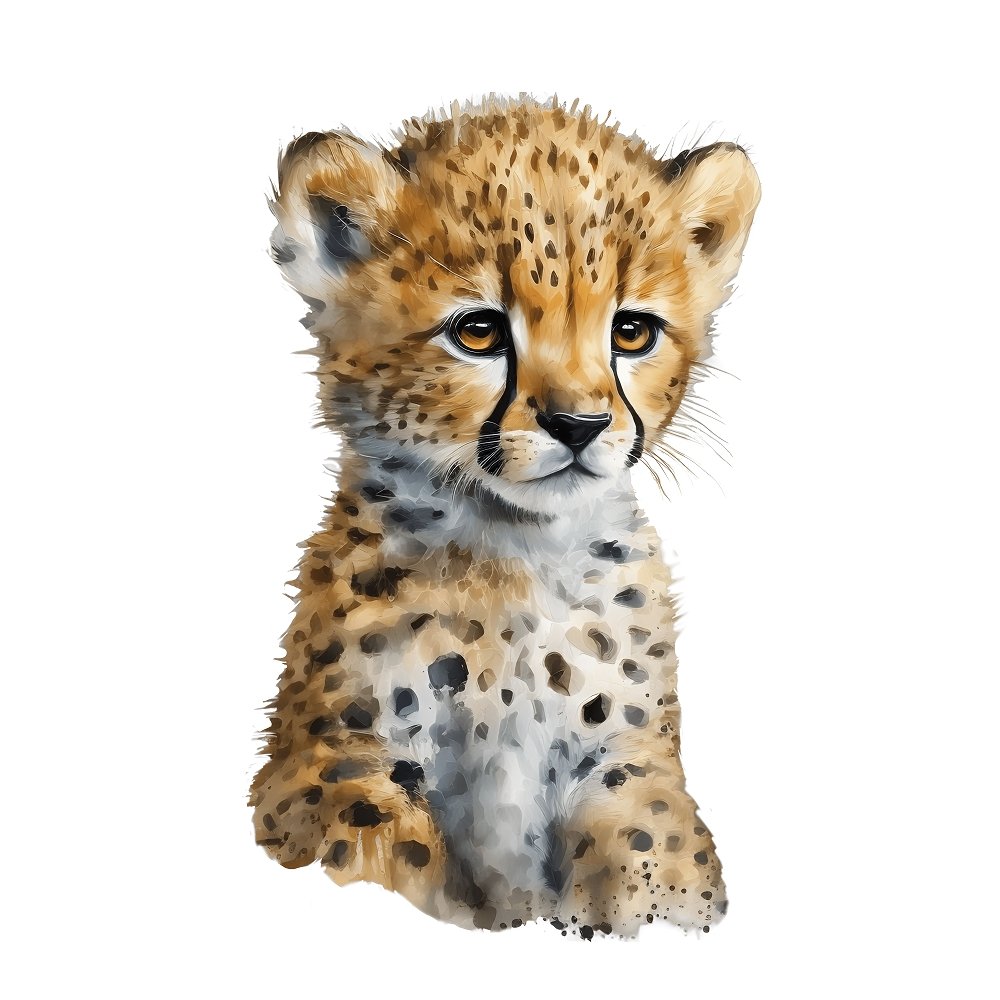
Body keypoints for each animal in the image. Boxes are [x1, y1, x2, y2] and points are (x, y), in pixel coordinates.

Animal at [249, 95, 760, 939]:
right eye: (479, 330)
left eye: (632, 331)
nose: (580, 425)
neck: (509, 554)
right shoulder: (331, 762)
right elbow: (379, 851)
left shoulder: (627, 758)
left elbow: (655, 852)